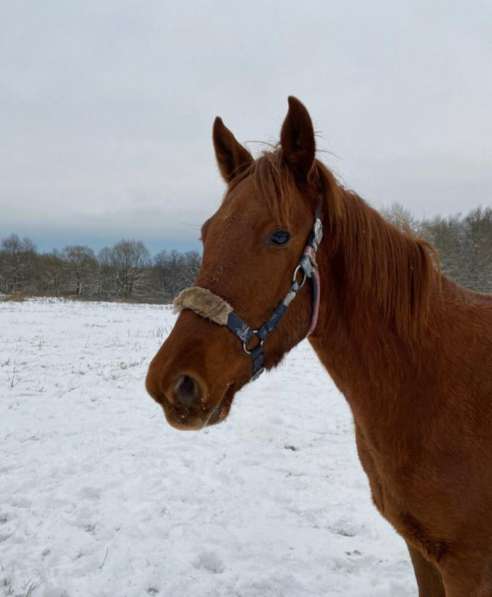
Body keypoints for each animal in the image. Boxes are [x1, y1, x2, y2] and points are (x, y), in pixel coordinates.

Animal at [146, 98, 492, 596]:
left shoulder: (469, 565)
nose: (173, 381)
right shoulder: (423, 554)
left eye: (279, 236)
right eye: (207, 233)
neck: (434, 383)